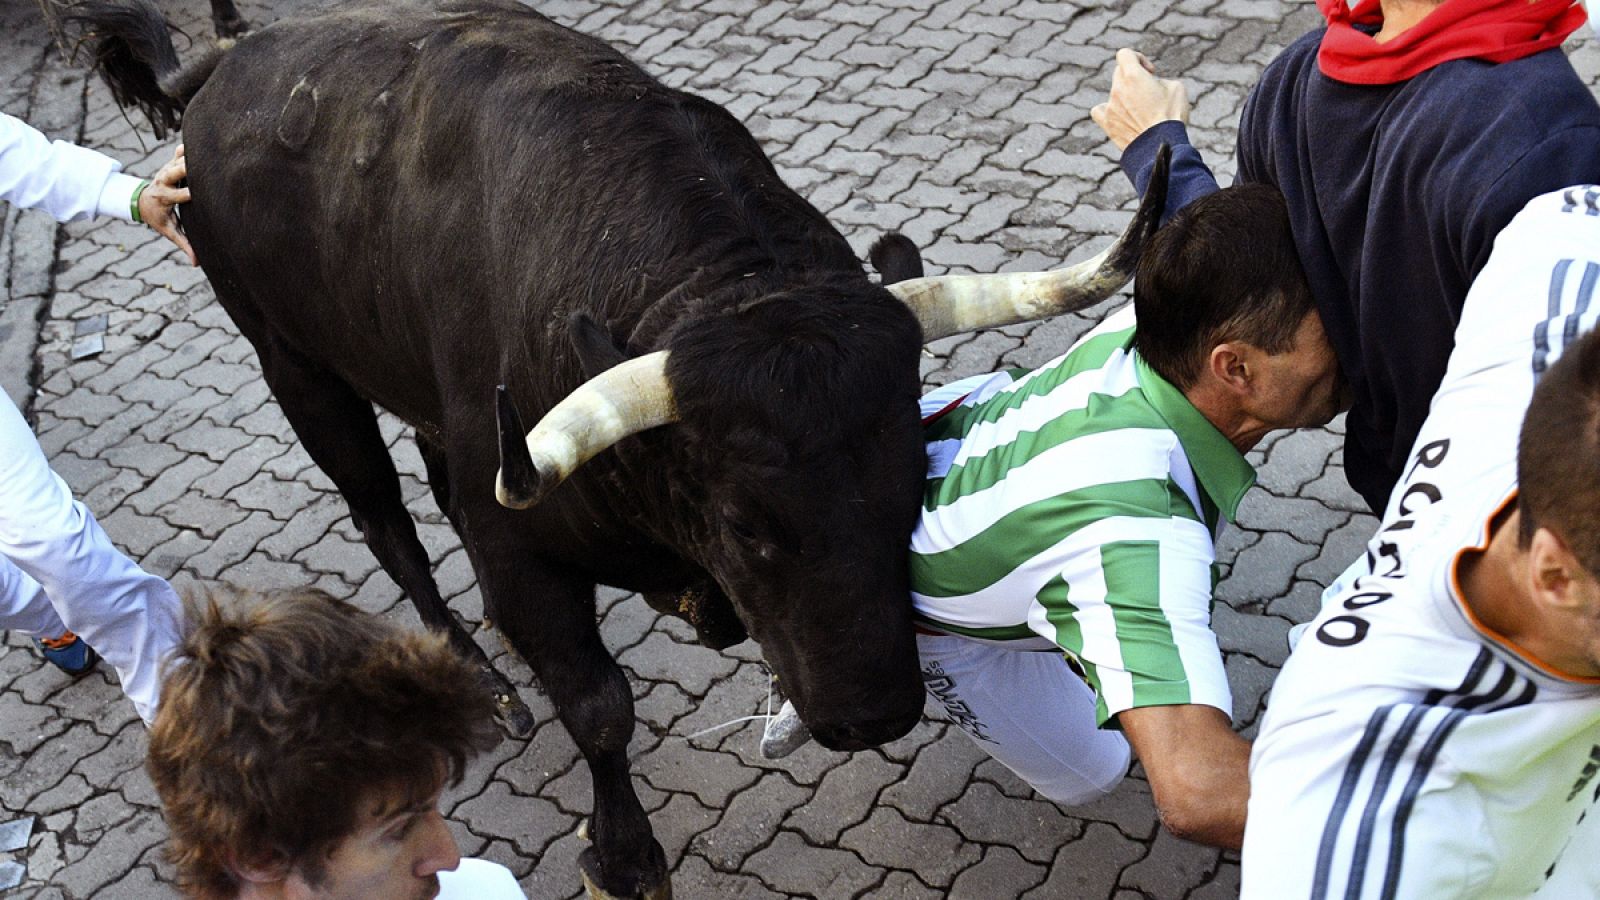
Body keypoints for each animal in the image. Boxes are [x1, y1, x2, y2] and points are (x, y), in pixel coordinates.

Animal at [65, 0, 1164, 890]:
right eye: (746, 526)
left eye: (914, 486)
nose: (876, 714)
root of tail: (230, 63)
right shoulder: (515, 541)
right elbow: (598, 706)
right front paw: (625, 855)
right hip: (294, 363)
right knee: (387, 521)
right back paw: (484, 678)